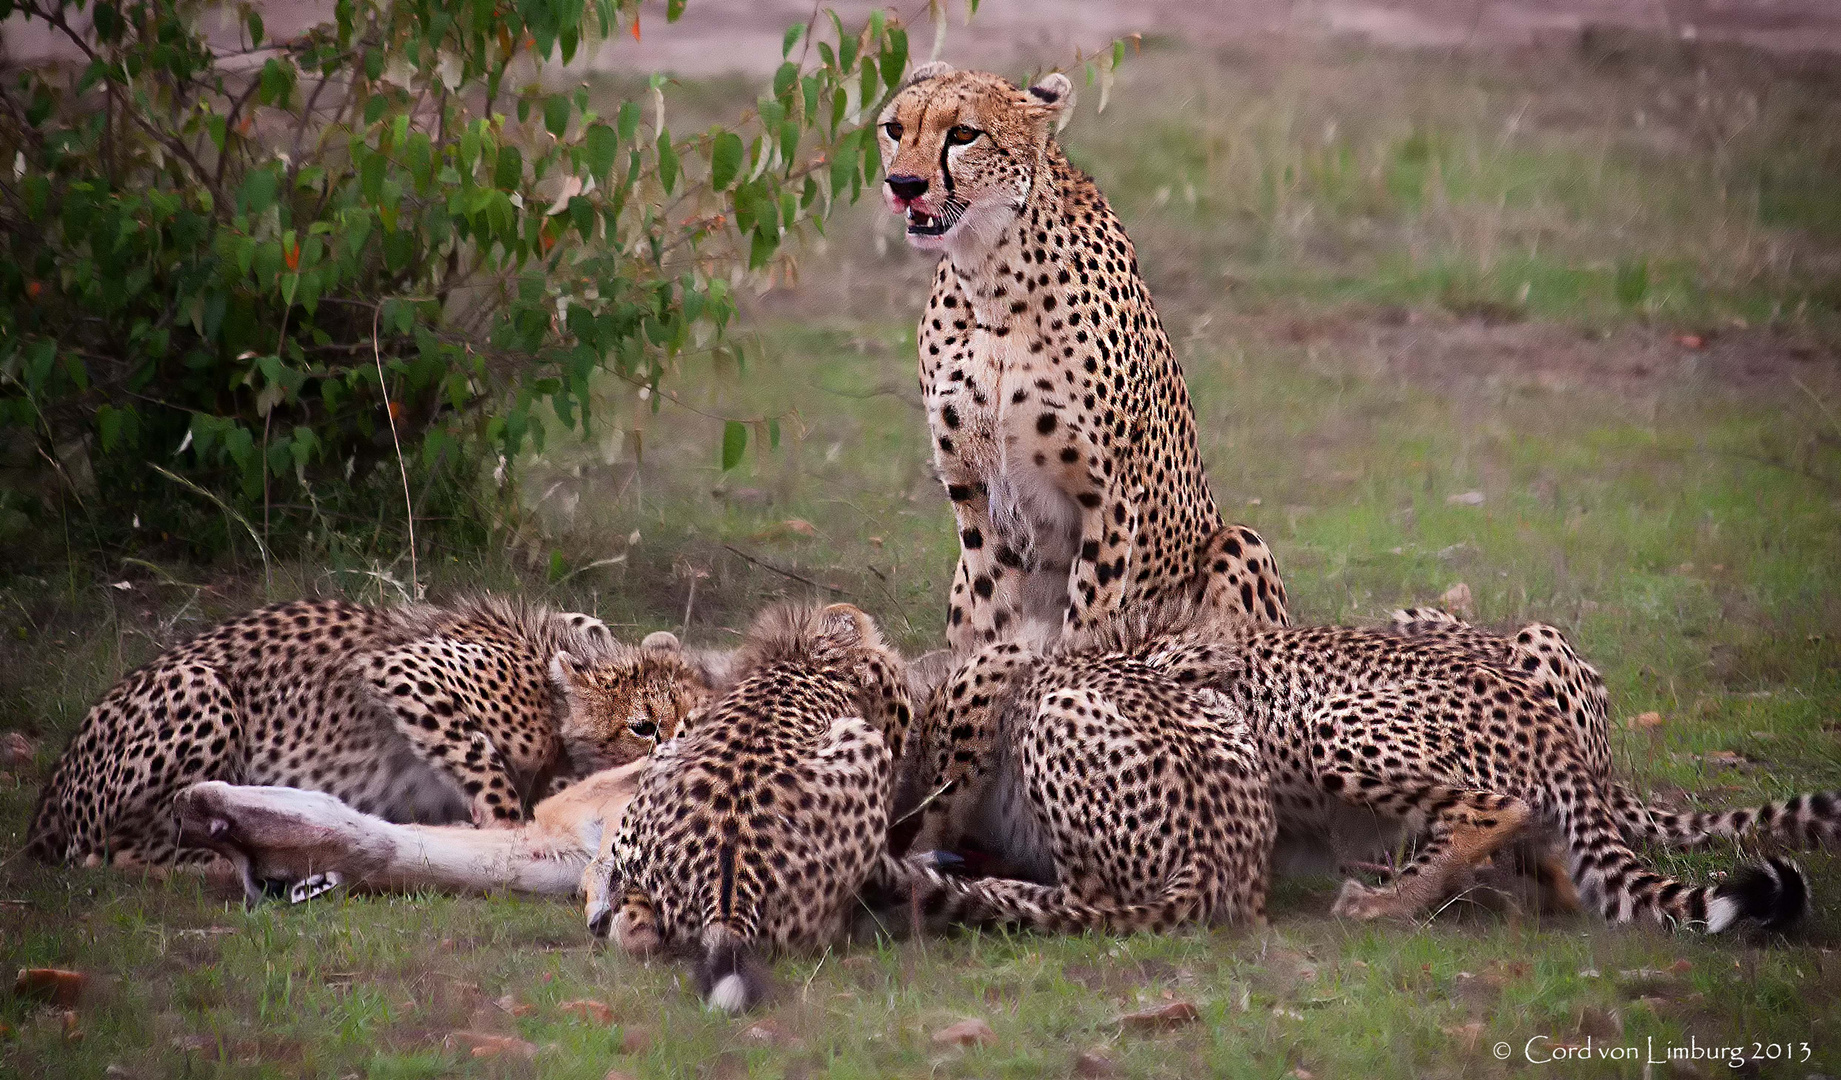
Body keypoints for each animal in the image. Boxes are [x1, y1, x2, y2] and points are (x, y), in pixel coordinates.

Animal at [30, 599, 717, 872]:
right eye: (644, 726)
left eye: (702, 718)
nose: (682, 755)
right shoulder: (403, 671)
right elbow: (485, 766)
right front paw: (502, 827)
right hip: (202, 687)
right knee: (103, 850)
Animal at [879, 63, 1288, 647]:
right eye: (894, 129)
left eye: (963, 134)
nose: (904, 184)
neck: (992, 282)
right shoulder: (972, 488)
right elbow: (992, 607)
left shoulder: (1108, 494)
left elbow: (1089, 617)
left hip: (1240, 542)